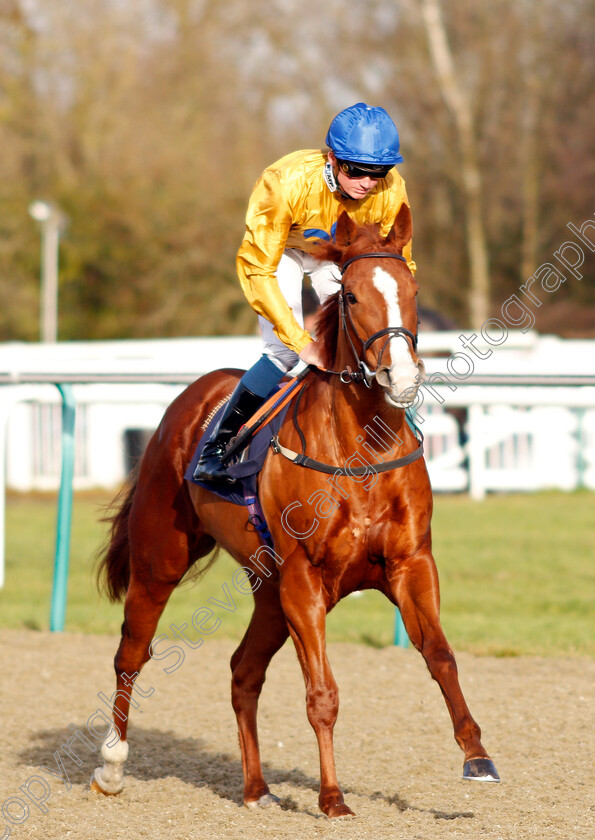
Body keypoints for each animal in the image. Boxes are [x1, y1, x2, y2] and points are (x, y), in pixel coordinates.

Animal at [93, 207, 500, 816]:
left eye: (412, 289)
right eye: (352, 296)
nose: (402, 376)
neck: (361, 453)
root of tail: (185, 402)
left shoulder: (409, 563)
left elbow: (440, 656)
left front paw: (477, 757)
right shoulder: (305, 581)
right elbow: (322, 694)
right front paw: (332, 798)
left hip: (267, 588)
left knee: (243, 671)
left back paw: (255, 788)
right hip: (161, 560)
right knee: (131, 654)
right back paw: (112, 764)